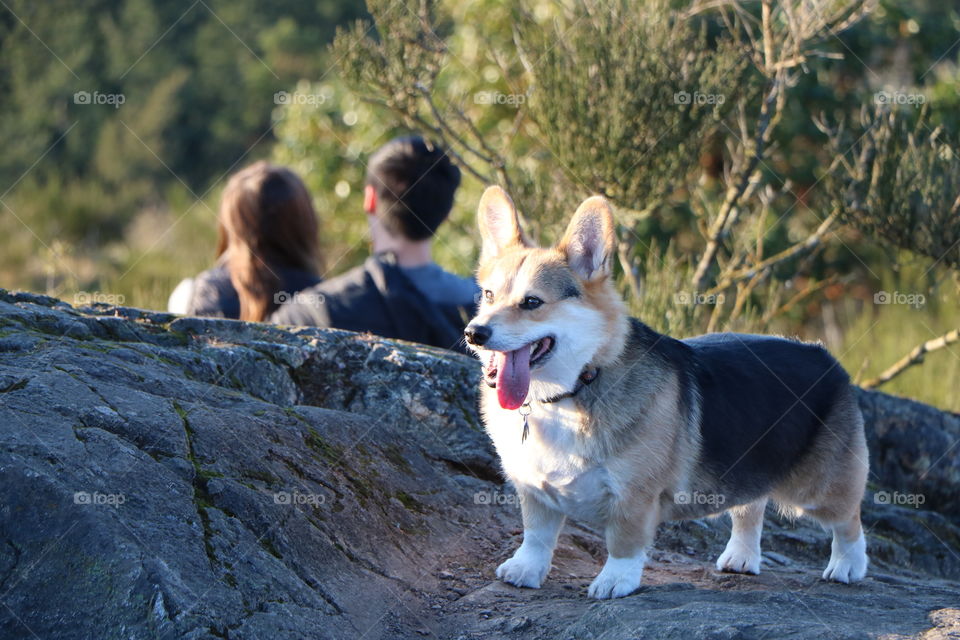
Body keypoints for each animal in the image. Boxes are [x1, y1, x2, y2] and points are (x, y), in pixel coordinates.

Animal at [464, 186, 872, 600]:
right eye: (488, 295)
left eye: (532, 302)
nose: (474, 333)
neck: (573, 388)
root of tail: (824, 355)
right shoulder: (535, 491)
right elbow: (537, 536)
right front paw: (525, 570)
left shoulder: (634, 495)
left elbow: (624, 543)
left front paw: (615, 581)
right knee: (750, 507)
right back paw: (742, 557)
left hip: (819, 489)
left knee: (849, 522)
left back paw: (847, 566)